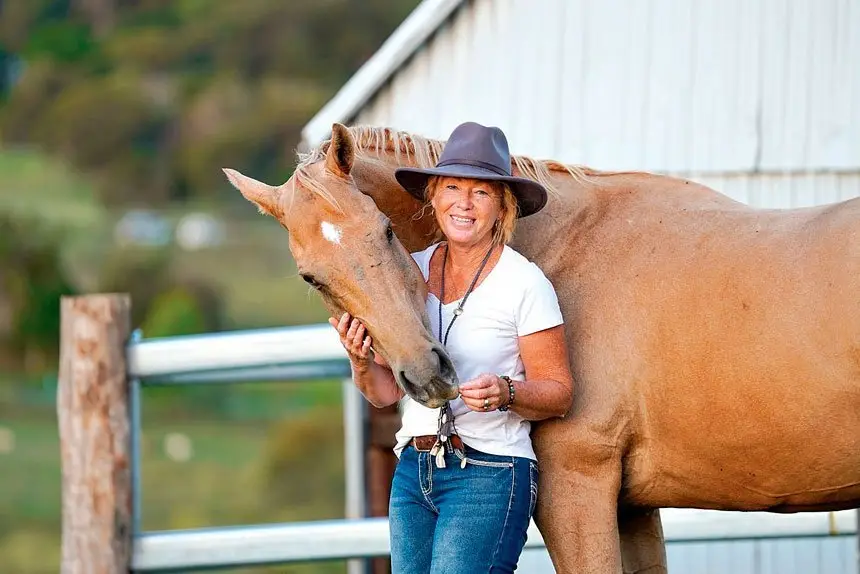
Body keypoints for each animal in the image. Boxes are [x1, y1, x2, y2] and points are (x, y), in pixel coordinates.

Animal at [223, 123, 860, 573]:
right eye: (312, 277)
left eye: (382, 231)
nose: (428, 374)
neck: (562, 246)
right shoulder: (631, 507)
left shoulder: (575, 490)